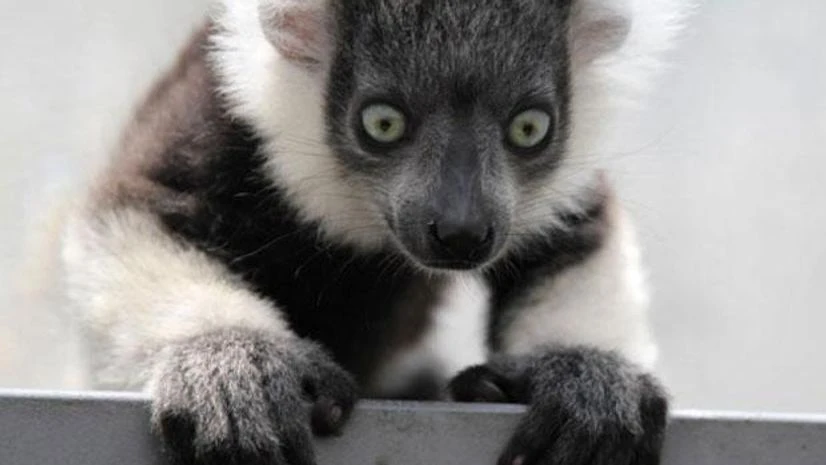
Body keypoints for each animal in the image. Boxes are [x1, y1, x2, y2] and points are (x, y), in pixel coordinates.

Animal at [59, 0, 688, 464]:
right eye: (383, 123)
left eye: (529, 128)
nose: (462, 231)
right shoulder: (217, 116)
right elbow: (134, 215)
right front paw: (233, 366)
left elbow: (573, 235)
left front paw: (587, 377)